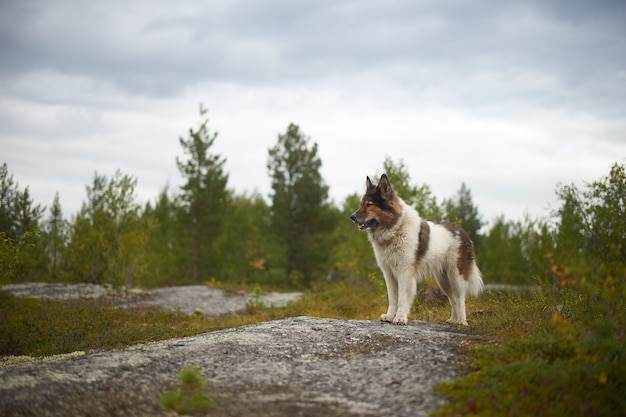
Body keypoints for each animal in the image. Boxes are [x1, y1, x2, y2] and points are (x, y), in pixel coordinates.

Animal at [352, 174, 482, 324]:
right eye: (362, 204)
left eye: (369, 204)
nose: (352, 217)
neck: (395, 229)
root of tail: (462, 232)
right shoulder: (389, 273)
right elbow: (393, 298)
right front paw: (389, 316)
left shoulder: (404, 272)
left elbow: (402, 298)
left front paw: (400, 318)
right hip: (443, 280)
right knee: (453, 299)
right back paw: (452, 320)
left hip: (456, 276)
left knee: (460, 298)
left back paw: (462, 322)